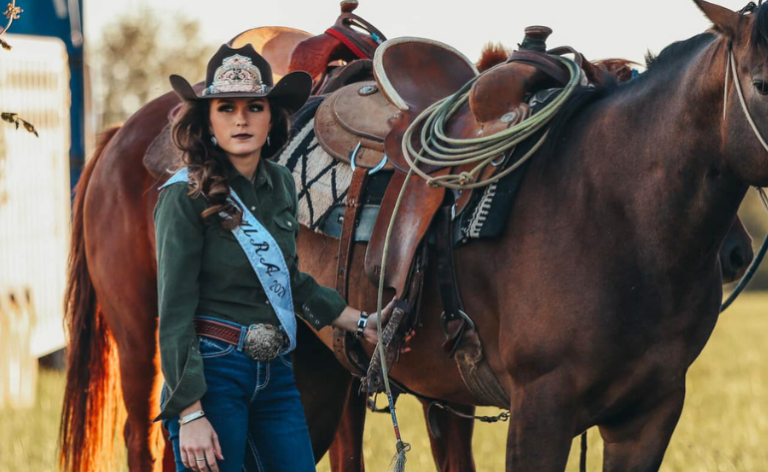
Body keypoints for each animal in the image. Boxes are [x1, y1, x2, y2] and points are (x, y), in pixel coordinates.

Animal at [60, 1, 768, 470]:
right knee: (145, 436)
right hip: (142, 340)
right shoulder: (541, 411)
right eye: (762, 83)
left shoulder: (647, 418)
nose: (737, 254)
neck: (617, 212)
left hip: (318, 369)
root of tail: (124, 133)